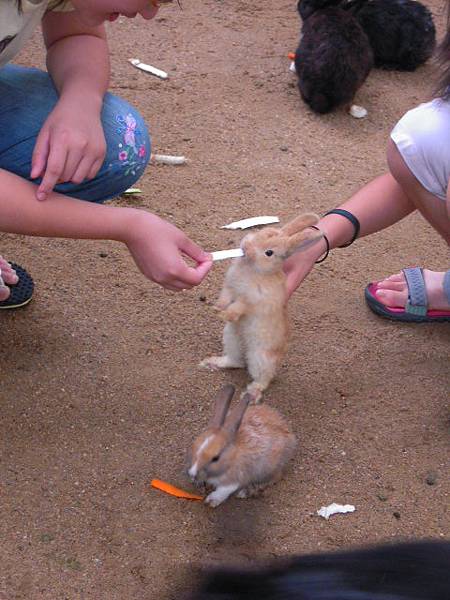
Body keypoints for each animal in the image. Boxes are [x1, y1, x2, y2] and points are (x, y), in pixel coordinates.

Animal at [200, 212, 324, 404]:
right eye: (260, 232)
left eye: (269, 253)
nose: (246, 246)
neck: (252, 268)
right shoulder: (229, 288)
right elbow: (225, 298)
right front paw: (217, 309)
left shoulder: (250, 301)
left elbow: (237, 308)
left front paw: (225, 315)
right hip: (231, 339)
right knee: (236, 362)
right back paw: (211, 363)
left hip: (260, 359)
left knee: (263, 379)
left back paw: (251, 394)